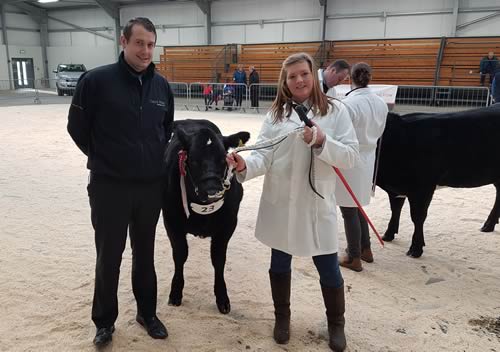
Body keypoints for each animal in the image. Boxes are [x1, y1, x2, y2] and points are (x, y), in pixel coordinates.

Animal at [163, 119, 250, 314]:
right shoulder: (171, 222)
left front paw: (222, 298)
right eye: (194, 160)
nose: (212, 191)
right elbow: (180, 254)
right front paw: (175, 292)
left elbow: (218, 259)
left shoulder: (228, 224)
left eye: (223, 159)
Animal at [376, 104, 500, 256]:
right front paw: (388, 235)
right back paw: (488, 225)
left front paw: (415, 249)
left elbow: (417, 217)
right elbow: (395, 209)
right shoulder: (396, 187)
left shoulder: (423, 187)